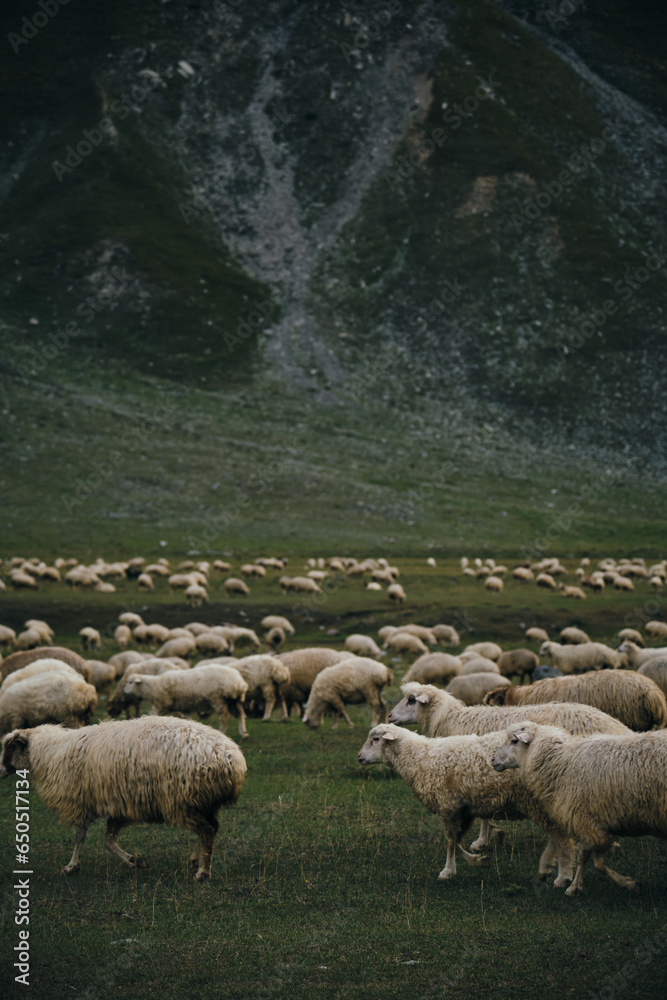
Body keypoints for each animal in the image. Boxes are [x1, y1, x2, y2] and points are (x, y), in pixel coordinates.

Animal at [0, 717, 246, 880]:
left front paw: (72, 866)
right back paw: (196, 860)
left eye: (10, 747)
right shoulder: (117, 804)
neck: (47, 755)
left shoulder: (81, 801)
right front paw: (136, 860)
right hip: (202, 802)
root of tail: (231, 758)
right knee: (212, 828)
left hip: (181, 801)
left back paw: (203, 872)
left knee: (206, 830)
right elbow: (108, 841)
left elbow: (81, 837)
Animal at [358, 723, 575, 885]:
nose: (359, 757)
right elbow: (456, 842)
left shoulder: (448, 806)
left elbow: (450, 842)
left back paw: (562, 876)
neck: (418, 758)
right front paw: (479, 860)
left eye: (375, 739)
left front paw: (447, 871)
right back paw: (548, 869)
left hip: (541, 803)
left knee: (563, 839)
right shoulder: (464, 809)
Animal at [491, 721, 667, 895]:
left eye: (514, 741)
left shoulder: (588, 821)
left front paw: (574, 887)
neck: (561, 762)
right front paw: (629, 883)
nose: (492, 760)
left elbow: (587, 858)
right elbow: (598, 862)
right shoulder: (600, 825)